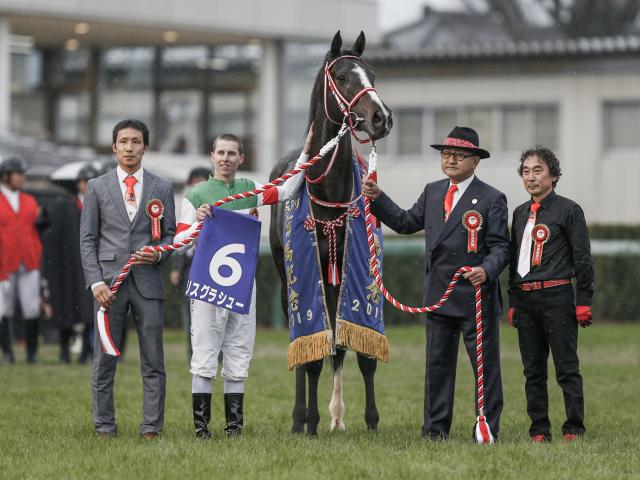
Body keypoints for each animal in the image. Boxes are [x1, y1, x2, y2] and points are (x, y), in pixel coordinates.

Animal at [268, 30, 392, 436]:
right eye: (341, 77)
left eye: (371, 73)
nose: (381, 117)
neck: (330, 193)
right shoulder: (309, 277)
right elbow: (312, 356)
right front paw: (308, 421)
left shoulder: (362, 275)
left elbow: (358, 350)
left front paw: (370, 420)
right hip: (288, 279)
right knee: (305, 347)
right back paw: (300, 418)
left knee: (338, 346)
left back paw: (337, 416)